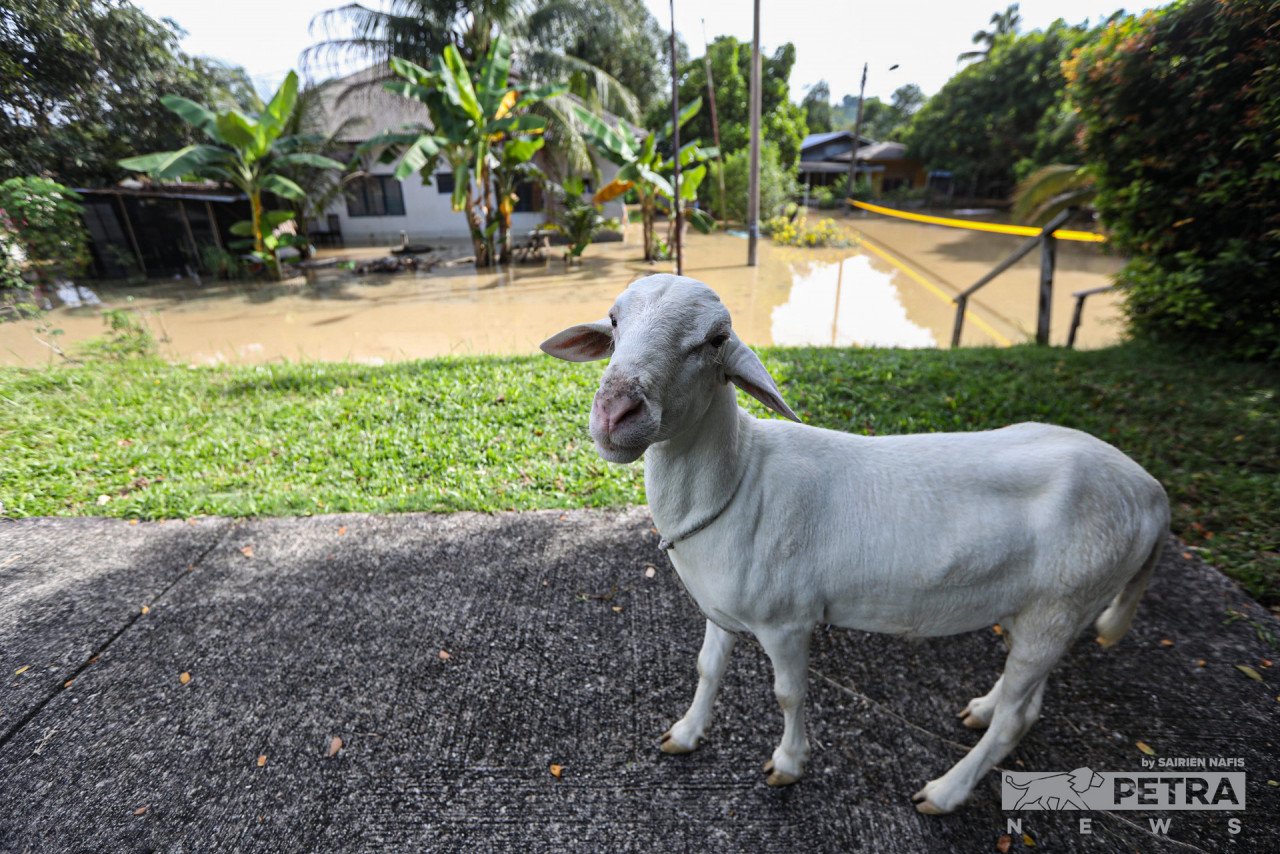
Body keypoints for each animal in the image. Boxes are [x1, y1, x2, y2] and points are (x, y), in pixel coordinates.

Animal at [540, 273, 1169, 814]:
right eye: (614, 321)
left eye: (715, 340)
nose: (615, 412)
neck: (741, 479)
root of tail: (1153, 494)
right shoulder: (721, 609)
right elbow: (707, 668)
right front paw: (687, 734)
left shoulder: (788, 620)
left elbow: (789, 694)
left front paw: (788, 764)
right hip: (1041, 611)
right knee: (1026, 702)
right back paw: (981, 710)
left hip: (1064, 604)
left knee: (1016, 718)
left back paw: (945, 792)